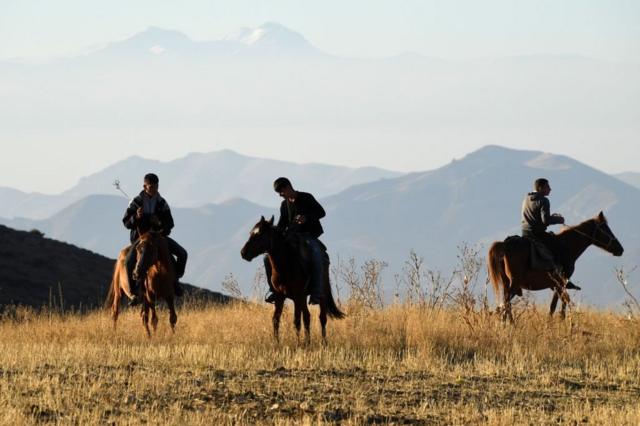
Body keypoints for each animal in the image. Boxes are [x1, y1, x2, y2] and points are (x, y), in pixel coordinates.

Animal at [488, 211, 624, 322]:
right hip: (514, 283)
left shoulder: (557, 285)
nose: (620, 249)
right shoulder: (560, 283)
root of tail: (505, 244)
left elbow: (556, 305)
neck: (567, 245)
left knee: (505, 304)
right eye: (605, 229)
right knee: (505, 303)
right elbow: (557, 306)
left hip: (506, 282)